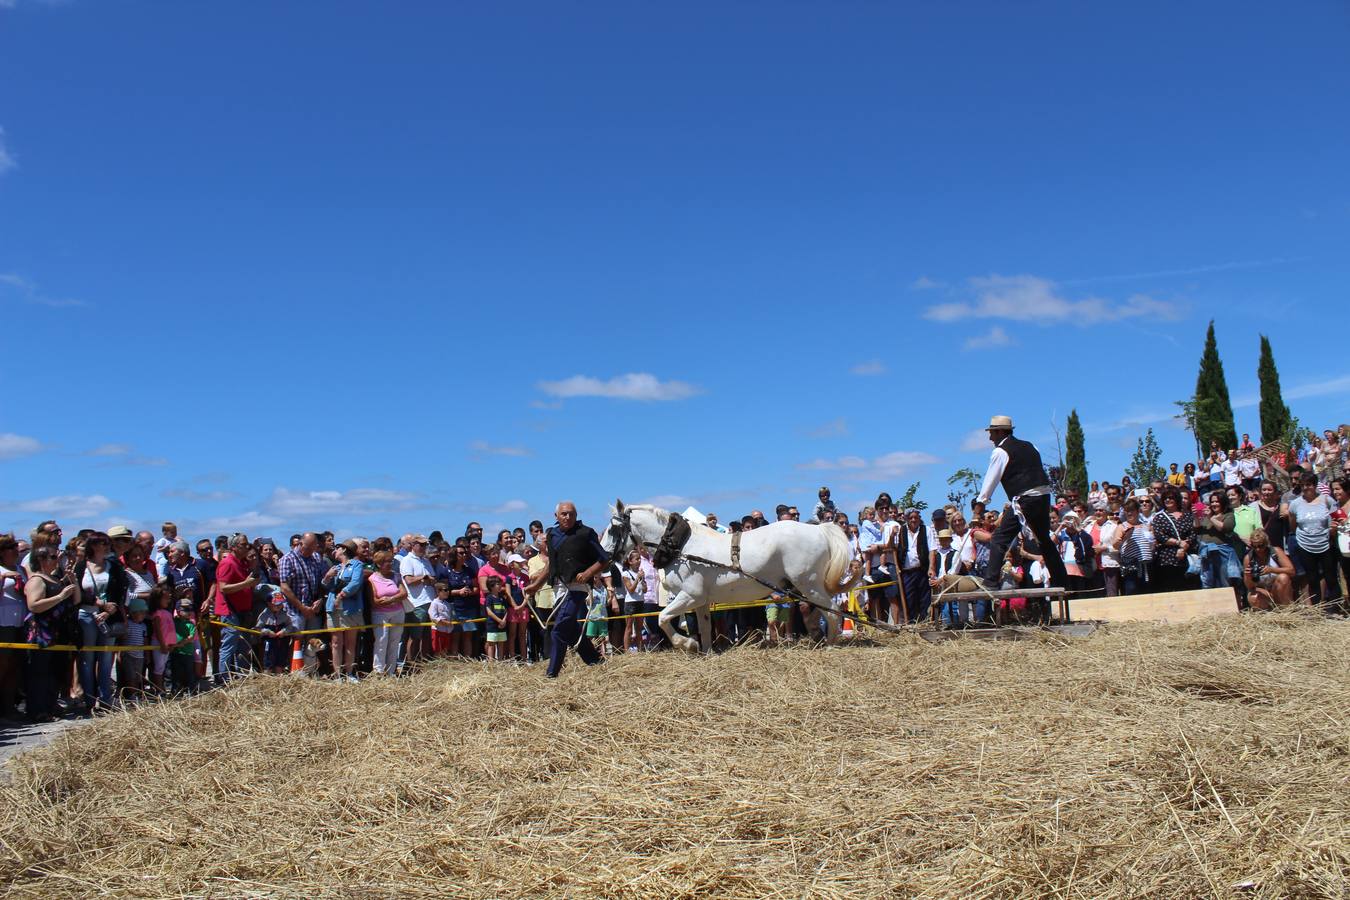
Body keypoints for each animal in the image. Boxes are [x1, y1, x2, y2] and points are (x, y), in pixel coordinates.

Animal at [599, 499, 853, 655]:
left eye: (612, 529)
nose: (603, 556)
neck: (680, 547)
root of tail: (819, 529)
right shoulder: (700, 600)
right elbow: (704, 626)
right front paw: (706, 650)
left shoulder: (690, 595)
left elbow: (663, 618)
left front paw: (687, 643)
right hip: (805, 587)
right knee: (820, 611)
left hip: (809, 585)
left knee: (831, 611)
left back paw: (830, 644)